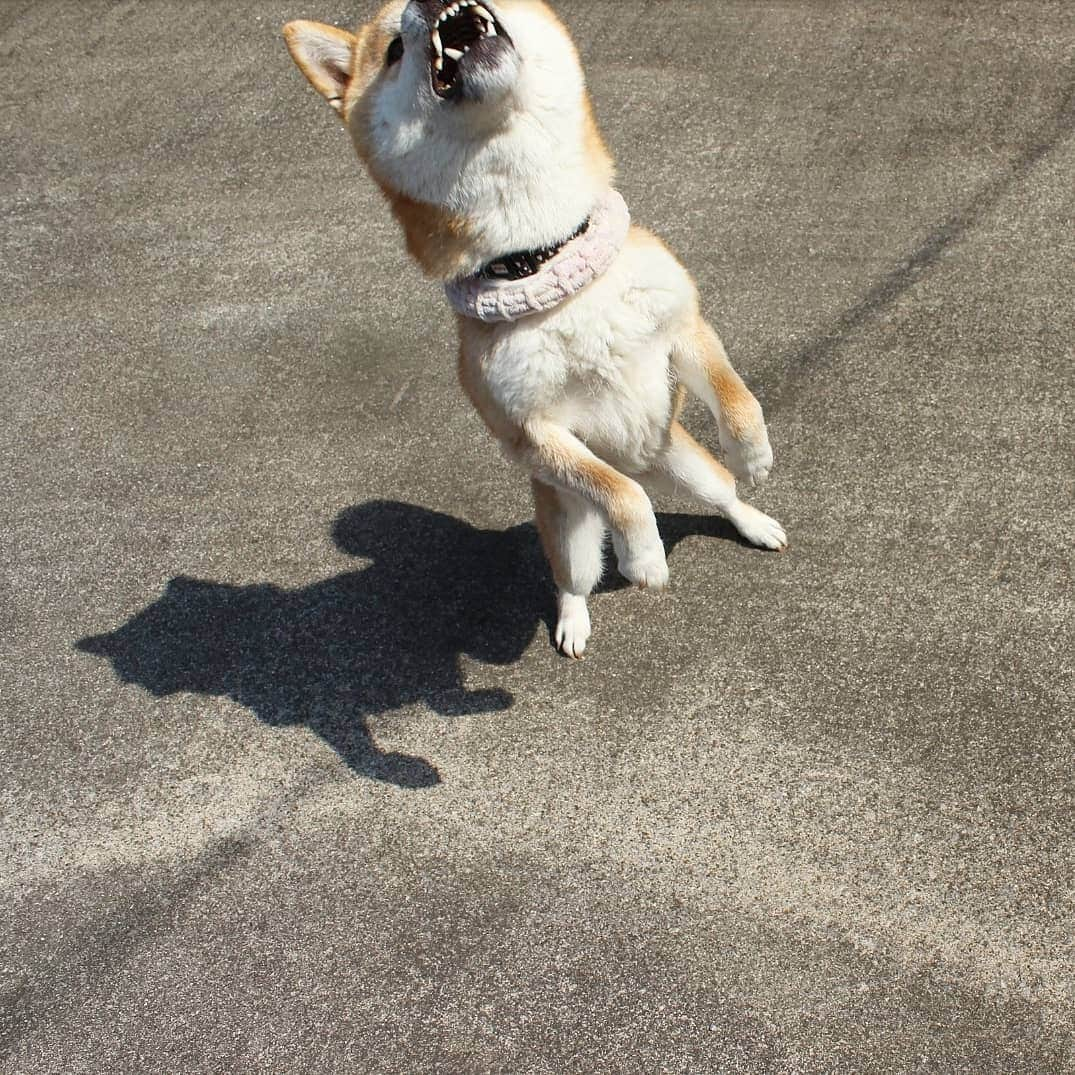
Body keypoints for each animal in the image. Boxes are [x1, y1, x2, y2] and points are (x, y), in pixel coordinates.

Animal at [283, 0, 791, 657]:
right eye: (393, 49)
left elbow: (738, 400)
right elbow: (624, 500)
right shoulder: (530, 430)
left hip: (687, 464)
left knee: (721, 492)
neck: (547, 258)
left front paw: (754, 454)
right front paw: (645, 557)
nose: (426, 5)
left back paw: (754, 520)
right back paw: (576, 619)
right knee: (584, 558)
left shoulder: (683, 326)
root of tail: (637, 457)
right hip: (570, 520)